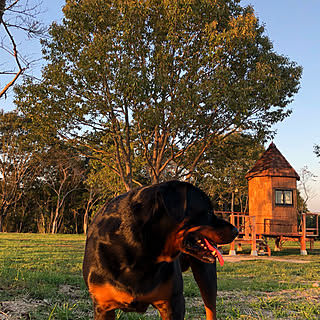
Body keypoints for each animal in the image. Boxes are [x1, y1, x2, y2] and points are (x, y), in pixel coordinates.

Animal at [82, 181, 238, 320]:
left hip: (207, 277)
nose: (236, 230)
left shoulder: (173, 303)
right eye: (208, 211)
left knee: (211, 309)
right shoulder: (103, 306)